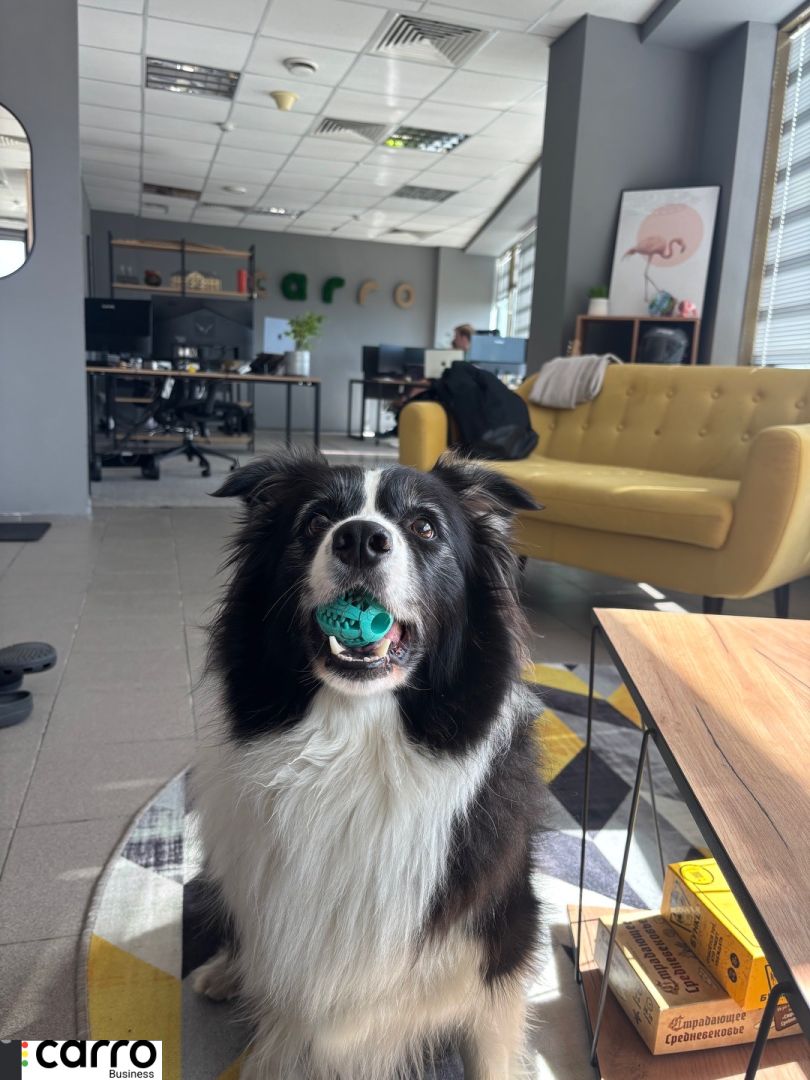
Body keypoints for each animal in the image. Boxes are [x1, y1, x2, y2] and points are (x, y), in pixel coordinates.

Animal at [191, 450, 543, 1080]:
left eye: (425, 527)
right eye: (314, 521)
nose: (358, 538)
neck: (355, 744)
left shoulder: (498, 954)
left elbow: (493, 1051)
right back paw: (224, 971)